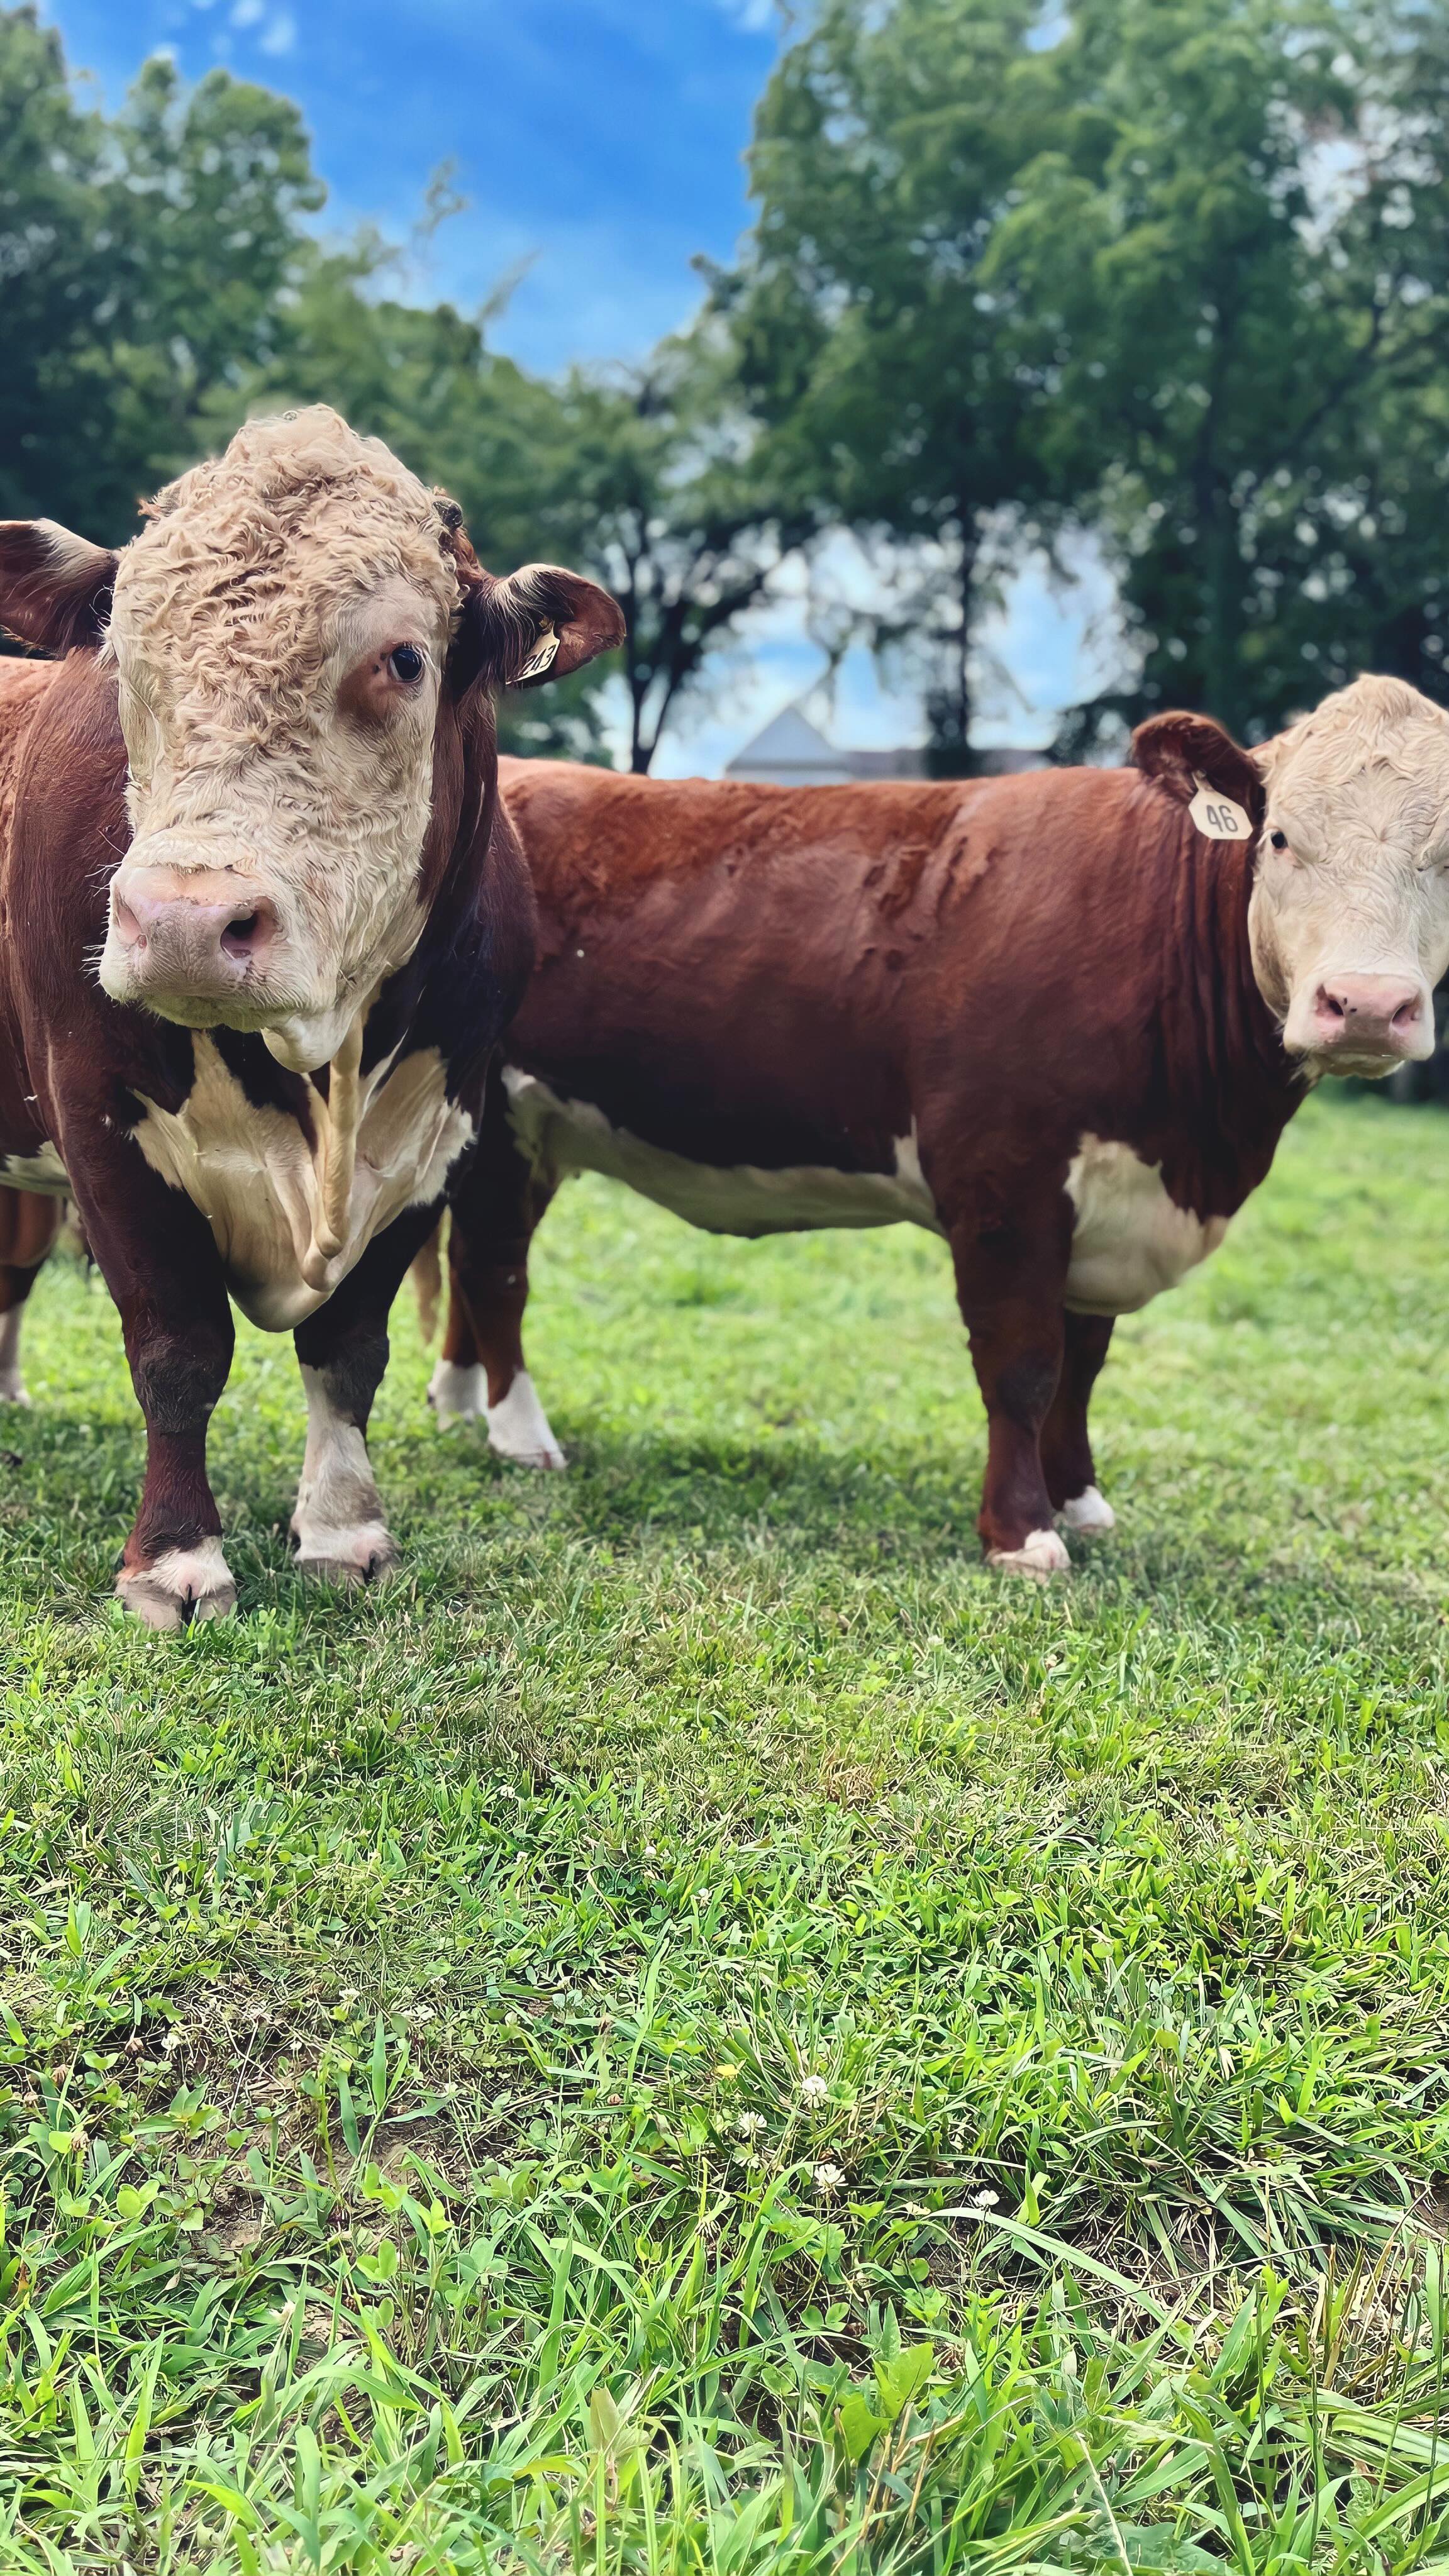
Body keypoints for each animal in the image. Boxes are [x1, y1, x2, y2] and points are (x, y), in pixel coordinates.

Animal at [0, 405, 622, 1624]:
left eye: (404, 659)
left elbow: (348, 1350)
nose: (184, 921)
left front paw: (342, 1529)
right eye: (124, 657)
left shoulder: (437, 1135)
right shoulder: (96, 1117)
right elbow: (178, 1347)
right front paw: (176, 1558)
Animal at [427, 679, 1449, 1572]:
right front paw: (1024, 1533)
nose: (1366, 1005)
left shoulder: (1109, 1202)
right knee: (493, 1265)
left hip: (528, 1129)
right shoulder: (1004, 1179)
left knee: (466, 1261)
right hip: (495, 1106)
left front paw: (1082, 1500)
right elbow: (1024, 1365)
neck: (1199, 1146)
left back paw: (458, 1403)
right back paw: (521, 1433)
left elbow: (1084, 1366)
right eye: (1278, 837)